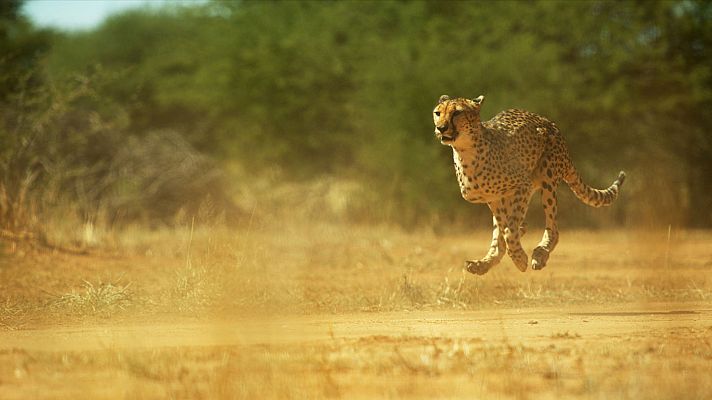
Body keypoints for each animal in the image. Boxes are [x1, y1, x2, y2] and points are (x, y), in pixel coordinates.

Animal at [432, 95, 624, 274]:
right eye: (438, 113)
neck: (466, 151)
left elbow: (509, 231)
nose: (441, 128)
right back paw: (482, 264)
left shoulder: (522, 185)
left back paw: (540, 254)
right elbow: (504, 230)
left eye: (457, 113)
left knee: (553, 229)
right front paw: (513, 249)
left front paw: (520, 259)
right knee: (504, 231)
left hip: (547, 177)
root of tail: (548, 121)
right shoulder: (493, 198)